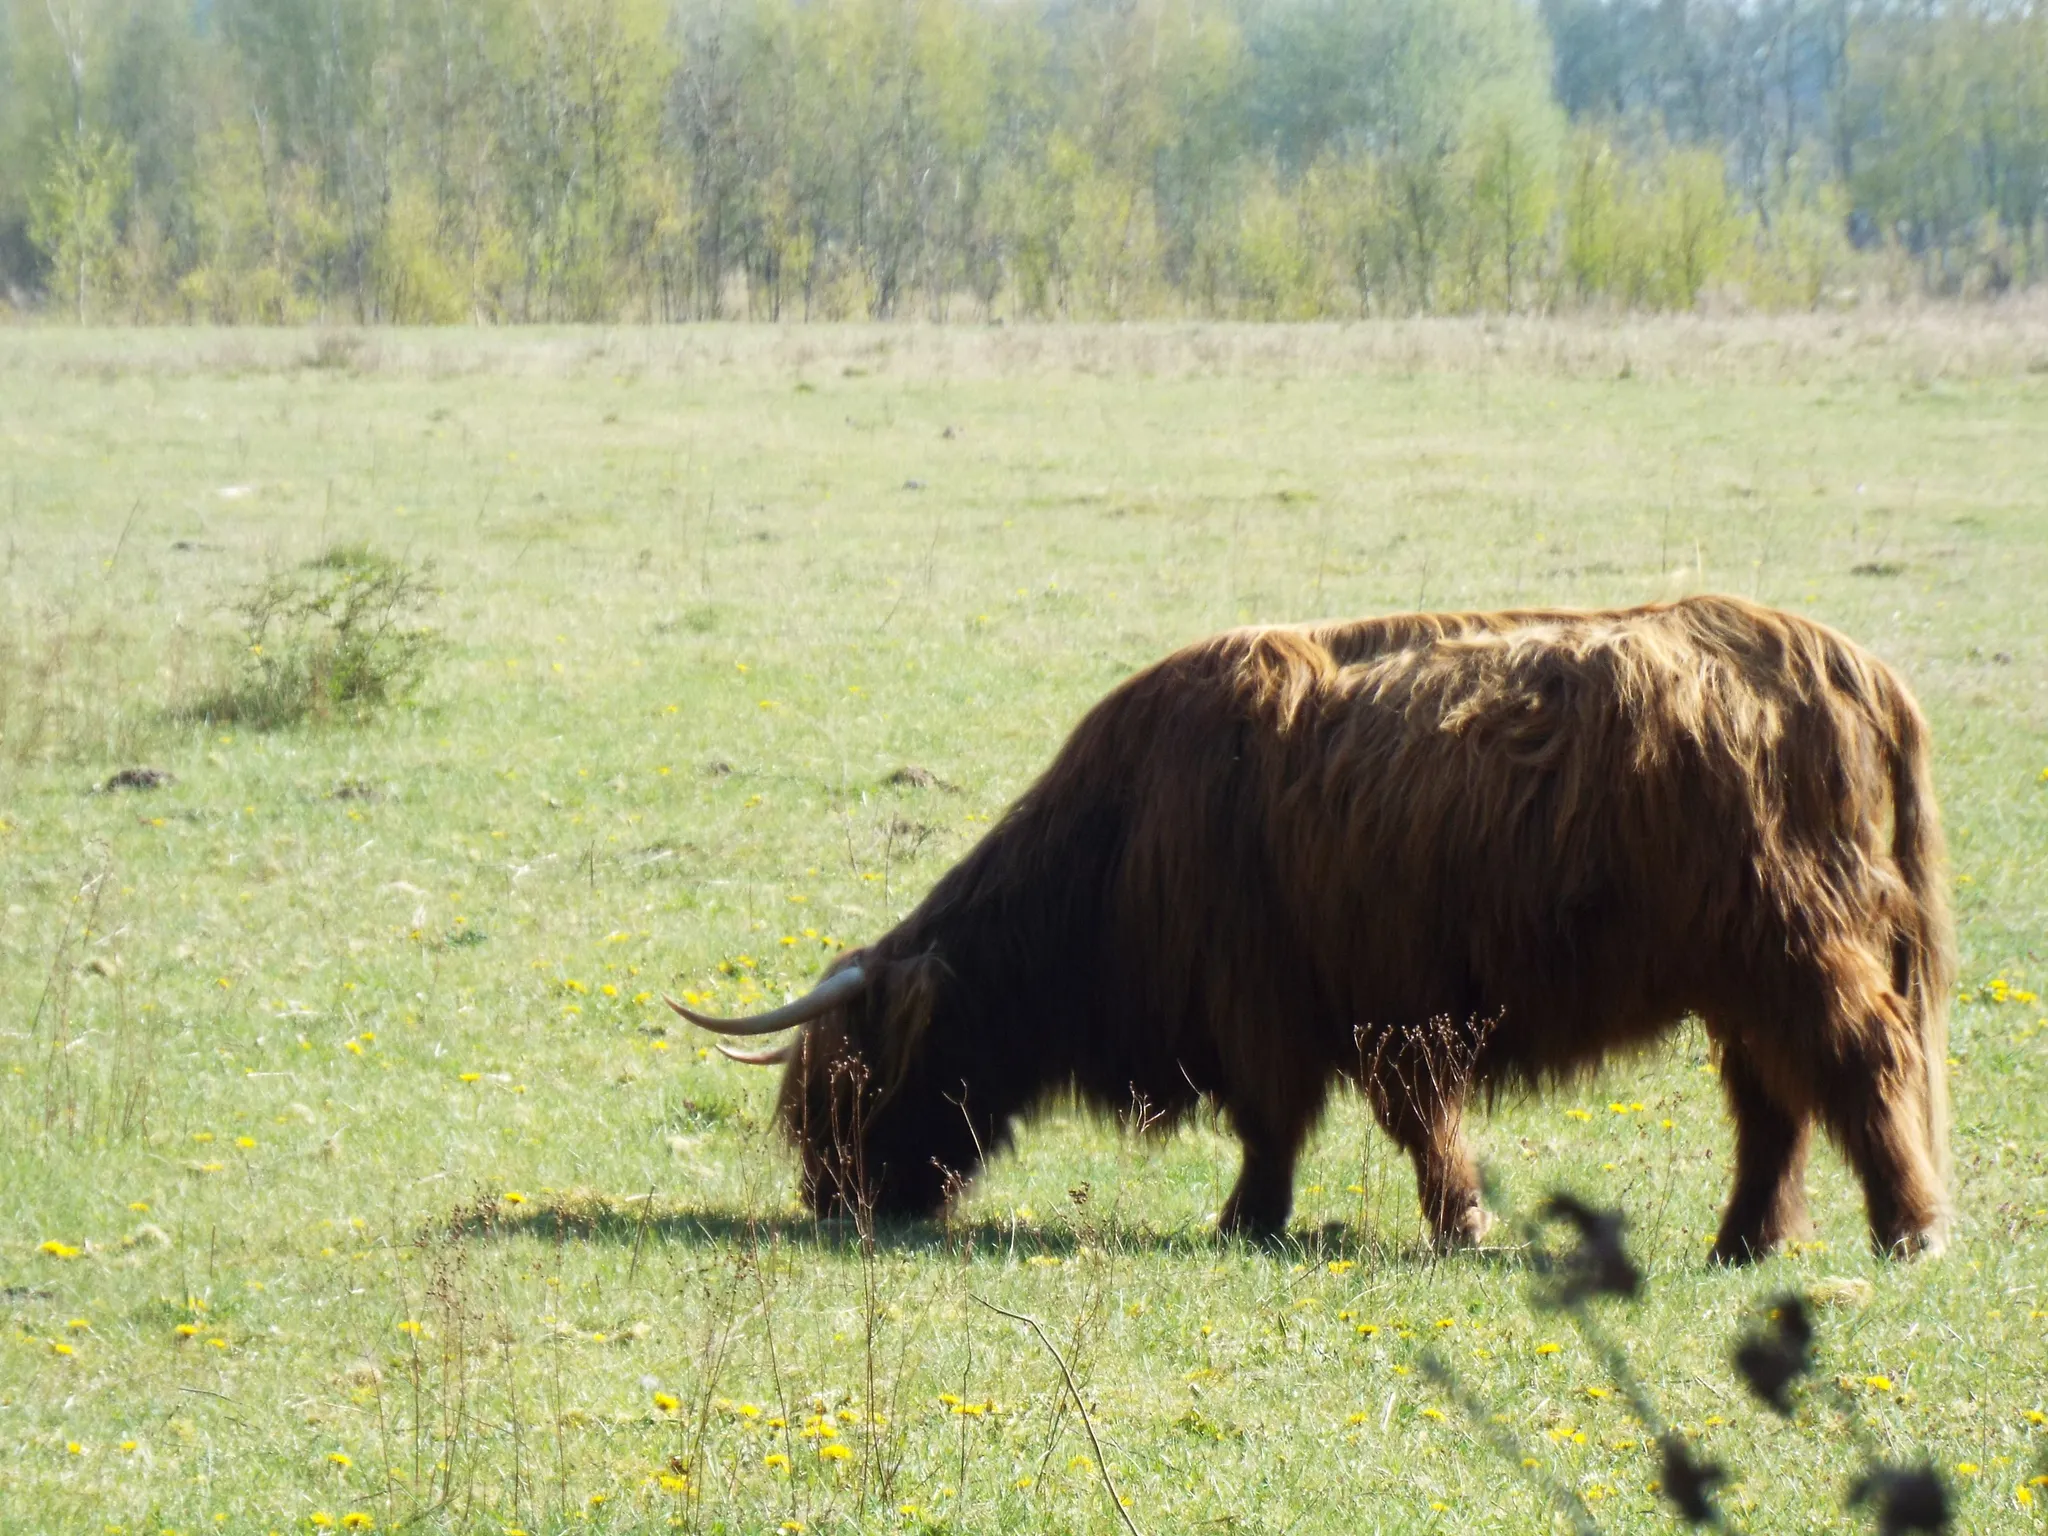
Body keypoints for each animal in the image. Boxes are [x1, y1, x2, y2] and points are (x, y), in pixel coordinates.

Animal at [671, 598, 1949, 1261]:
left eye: (853, 1082)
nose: (832, 1201)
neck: (1116, 843)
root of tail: (1839, 659)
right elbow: (1357, 1119)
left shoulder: (1293, 1005)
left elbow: (1298, 1123)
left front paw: (1288, 1219)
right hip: (1742, 976)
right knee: (1774, 1103)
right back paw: (1745, 1240)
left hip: (1797, 952)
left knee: (1857, 1064)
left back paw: (1908, 1229)